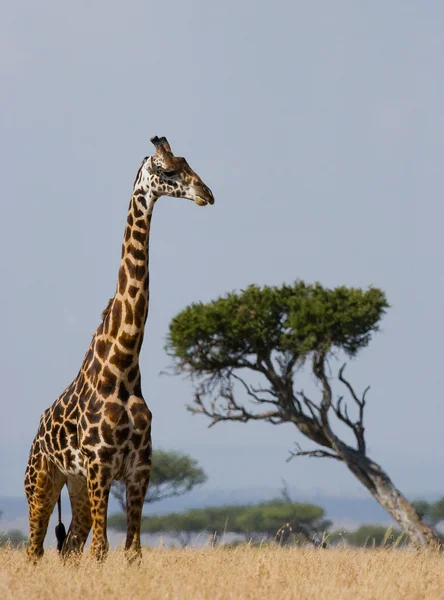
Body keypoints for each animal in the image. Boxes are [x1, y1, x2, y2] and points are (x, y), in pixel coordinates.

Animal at [24, 137, 215, 564]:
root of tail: (38, 432)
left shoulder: (139, 469)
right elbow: (102, 549)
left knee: (70, 546)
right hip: (41, 481)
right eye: (167, 170)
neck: (123, 364)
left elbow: (131, 552)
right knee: (35, 549)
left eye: (187, 163)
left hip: (75, 485)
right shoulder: (100, 466)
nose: (206, 194)